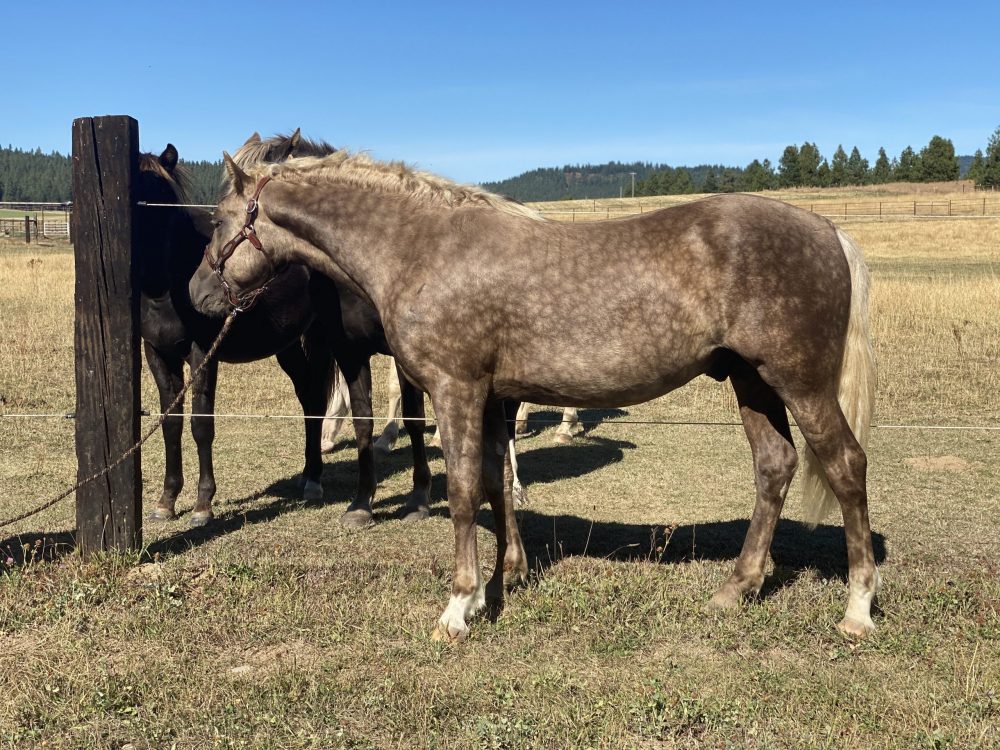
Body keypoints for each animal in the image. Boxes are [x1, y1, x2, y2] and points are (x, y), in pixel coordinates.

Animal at [136, 137, 430, 528]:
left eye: (157, 192)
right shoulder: (157, 353)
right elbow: (170, 423)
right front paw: (167, 500)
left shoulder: (203, 354)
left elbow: (201, 424)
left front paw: (202, 505)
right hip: (289, 348)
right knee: (311, 401)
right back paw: (309, 476)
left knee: (316, 402)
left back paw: (316, 480)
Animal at [191, 150, 880, 644]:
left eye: (219, 222)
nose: (198, 295)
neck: (421, 247)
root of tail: (828, 231)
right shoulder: (494, 396)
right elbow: (497, 480)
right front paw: (507, 576)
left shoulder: (456, 388)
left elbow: (465, 490)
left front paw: (459, 606)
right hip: (752, 381)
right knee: (775, 466)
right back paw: (735, 589)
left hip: (799, 383)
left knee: (846, 466)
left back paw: (856, 609)